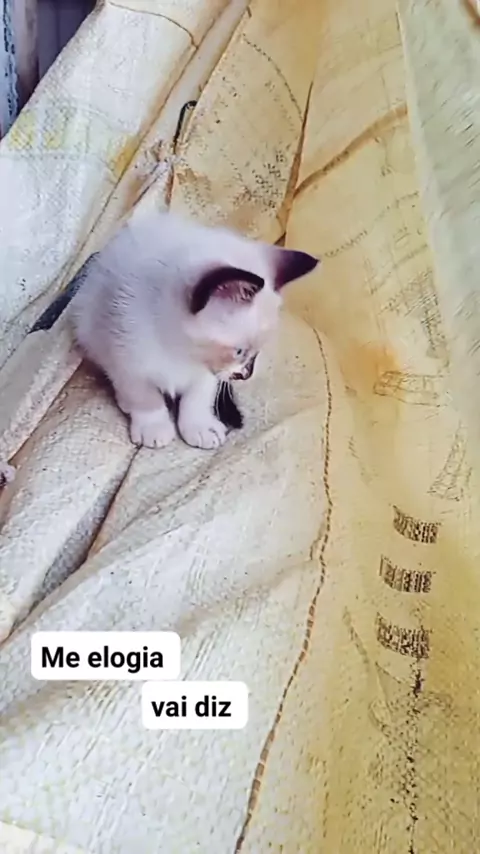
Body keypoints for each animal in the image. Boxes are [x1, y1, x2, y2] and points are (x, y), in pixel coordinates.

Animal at [69, 209, 320, 450]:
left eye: (255, 353)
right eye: (239, 351)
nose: (245, 374)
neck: (179, 350)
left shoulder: (206, 373)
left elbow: (196, 398)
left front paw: (199, 427)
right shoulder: (125, 362)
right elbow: (144, 396)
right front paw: (154, 426)